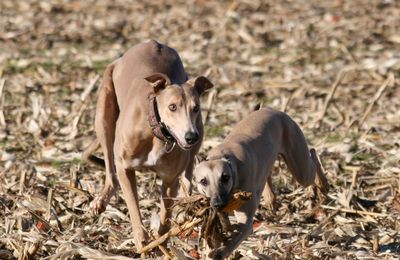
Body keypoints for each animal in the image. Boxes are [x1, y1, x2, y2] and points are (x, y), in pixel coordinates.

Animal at [83, 40, 214, 250]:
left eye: (196, 108)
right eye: (172, 107)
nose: (190, 137)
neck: (157, 134)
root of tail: (152, 42)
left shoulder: (169, 179)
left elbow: (165, 215)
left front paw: (161, 241)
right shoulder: (125, 168)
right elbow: (133, 204)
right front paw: (142, 239)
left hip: (198, 135)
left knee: (188, 173)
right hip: (103, 116)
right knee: (111, 172)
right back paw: (101, 200)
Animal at [194, 106, 328, 258]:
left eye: (225, 177)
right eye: (203, 181)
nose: (218, 204)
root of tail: (272, 109)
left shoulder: (245, 224)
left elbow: (232, 240)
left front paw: (219, 253)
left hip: (301, 170)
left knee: (313, 154)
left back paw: (323, 183)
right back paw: (270, 198)